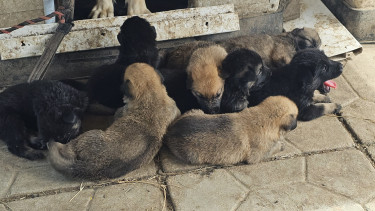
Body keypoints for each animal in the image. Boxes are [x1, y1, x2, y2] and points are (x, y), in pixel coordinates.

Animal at [166, 95, 298, 165]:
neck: (265, 116)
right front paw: (281, 145)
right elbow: (271, 150)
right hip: (193, 156)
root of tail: (171, 130)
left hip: (195, 111)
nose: (297, 125)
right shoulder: (257, 155)